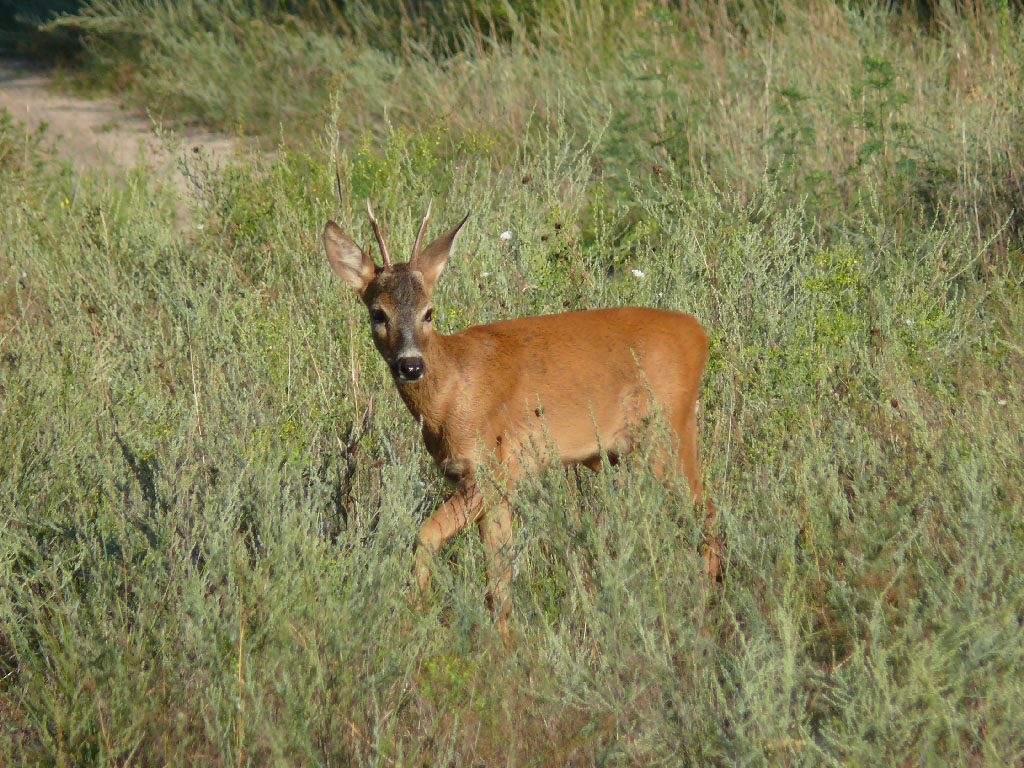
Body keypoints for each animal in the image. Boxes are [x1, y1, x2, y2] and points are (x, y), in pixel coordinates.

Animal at [321, 201, 720, 634]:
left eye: (429, 312)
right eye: (378, 314)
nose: (410, 365)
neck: (451, 395)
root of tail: (699, 333)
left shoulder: (491, 470)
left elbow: (426, 534)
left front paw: (414, 614)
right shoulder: (489, 486)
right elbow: (498, 578)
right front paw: (503, 640)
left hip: (669, 433)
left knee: (705, 513)